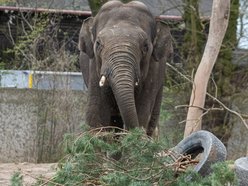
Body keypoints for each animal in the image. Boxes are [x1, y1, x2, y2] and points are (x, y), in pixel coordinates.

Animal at [79, 0, 172, 137]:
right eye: (98, 44)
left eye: (145, 46)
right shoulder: (93, 68)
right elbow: (97, 114)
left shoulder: (153, 71)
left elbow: (142, 111)